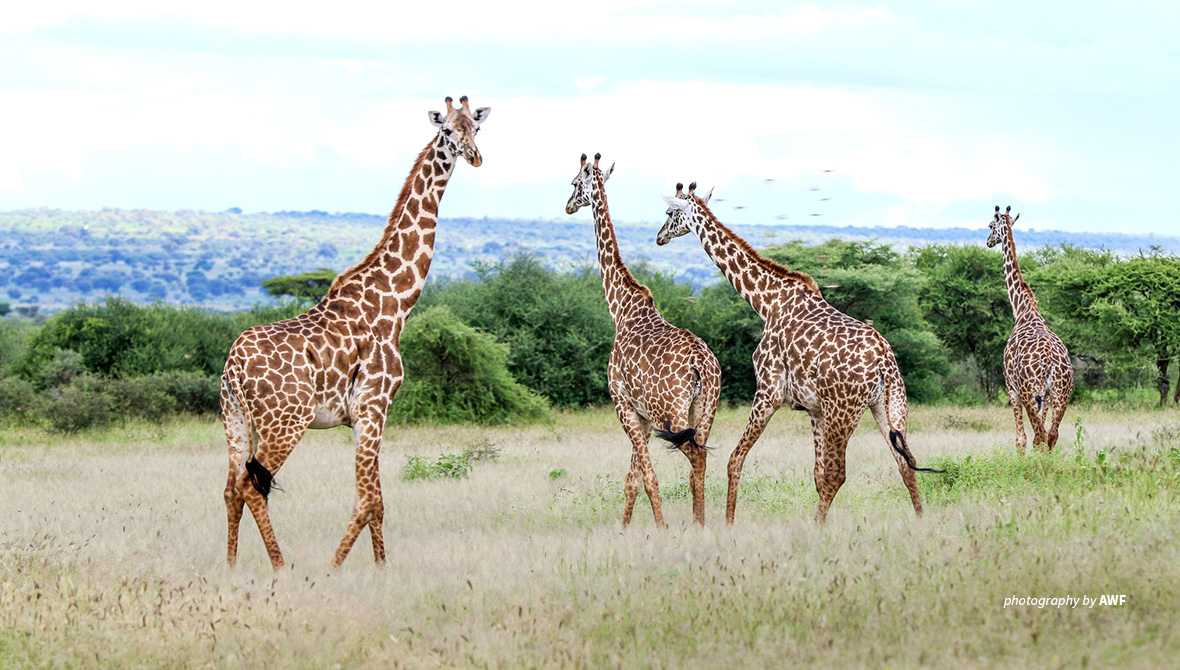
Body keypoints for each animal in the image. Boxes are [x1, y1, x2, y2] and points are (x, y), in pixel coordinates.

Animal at [220, 95, 488, 570]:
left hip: (233, 418)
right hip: (285, 421)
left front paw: (381, 570)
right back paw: (282, 569)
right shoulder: (373, 408)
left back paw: (230, 570)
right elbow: (367, 501)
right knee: (253, 485)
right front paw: (334, 570)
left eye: (475, 128)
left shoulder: (371, 414)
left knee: (231, 489)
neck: (394, 304)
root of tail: (232, 367)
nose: (474, 156)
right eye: (446, 131)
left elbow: (377, 501)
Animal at [561, 154, 717, 526]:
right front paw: (624, 530)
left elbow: (647, 478)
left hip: (672, 413)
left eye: (574, 183)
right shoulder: (643, 417)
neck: (621, 307)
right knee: (700, 462)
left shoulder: (623, 405)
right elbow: (632, 480)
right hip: (704, 410)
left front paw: (659, 529)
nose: (568, 205)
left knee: (693, 458)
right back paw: (700, 526)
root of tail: (701, 364)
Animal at [656, 181, 939, 523]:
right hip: (889, 406)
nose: (659, 236)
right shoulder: (814, 409)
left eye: (670, 213)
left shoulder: (769, 391)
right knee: (905, 464)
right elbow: (816, 476)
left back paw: (815, 528)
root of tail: (885, 364)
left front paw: (728, 525)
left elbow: (735, 460)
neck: (766, 302)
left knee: (840, 473)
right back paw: (919, 522)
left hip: (843, 412)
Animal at [986, 206, 1071, 452]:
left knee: (1038, 435)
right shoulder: (1048, 396)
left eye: (990, 226)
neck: (1023, 310)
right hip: (1061, 394)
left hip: (1029, 392)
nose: (988, 242)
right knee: (1051, 435)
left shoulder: (1011, 388)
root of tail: (1050, 360)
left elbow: (1020, 439)